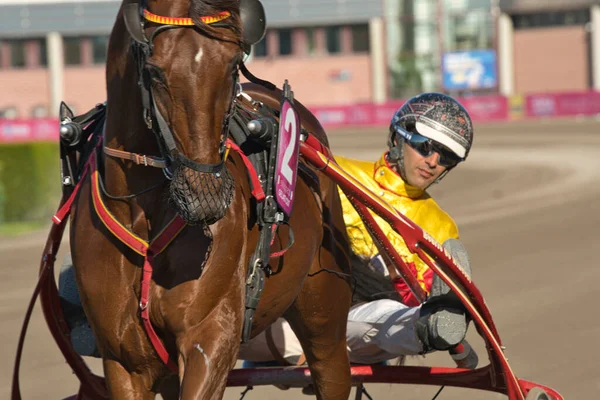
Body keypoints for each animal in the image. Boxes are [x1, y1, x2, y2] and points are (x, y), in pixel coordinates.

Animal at [68, 0, 354, 398]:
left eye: (233, 65)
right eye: (154, 71)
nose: (206, 196)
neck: (143, 214)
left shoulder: (210, 334)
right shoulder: (124, 358)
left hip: (323, 305)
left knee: (330, 364)